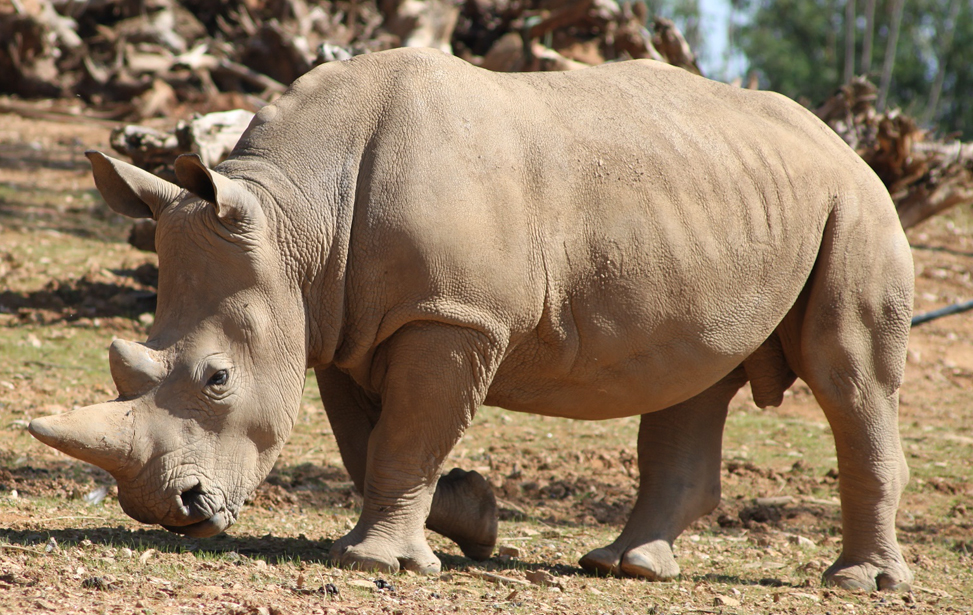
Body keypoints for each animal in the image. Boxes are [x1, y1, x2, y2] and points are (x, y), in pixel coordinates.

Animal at [28, 47, 912, 592]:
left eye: (216, 378)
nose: (167, 510)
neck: (295, 218)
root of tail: (839, 139)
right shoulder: (344, 324)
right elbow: (370, 445)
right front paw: (473, 516)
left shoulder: (452, 318)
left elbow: (405, 435)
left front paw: (375, 562)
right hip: (724, 203)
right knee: (692, 378)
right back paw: (623, 567)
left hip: (857, 203)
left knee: (847, 376)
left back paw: (858, 582)